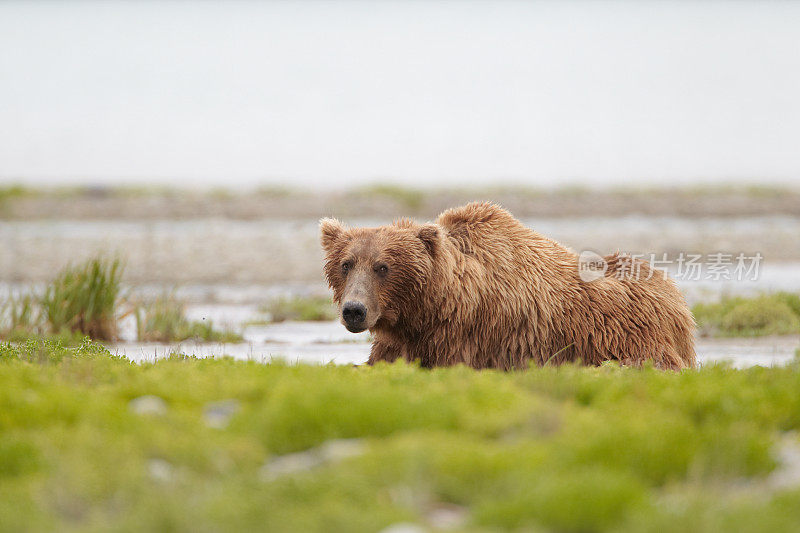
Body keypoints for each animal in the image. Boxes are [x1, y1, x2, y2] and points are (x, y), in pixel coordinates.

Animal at [318, 202, 692, 372]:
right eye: (346, 264)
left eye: (383, 267)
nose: (354, 310)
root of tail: (678, 299)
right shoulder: (405, 340)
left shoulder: (475, 336)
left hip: (628, 334)